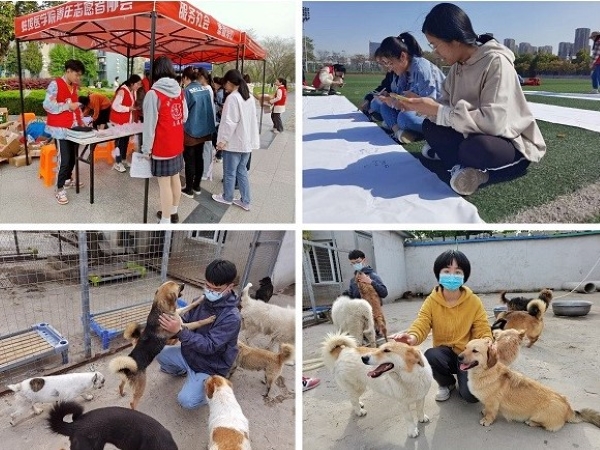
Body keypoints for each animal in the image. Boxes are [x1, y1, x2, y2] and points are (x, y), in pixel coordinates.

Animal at [109, 280, 214, 410]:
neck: (161, 308)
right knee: (133, 403)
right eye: (178, 286)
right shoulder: (182, 327)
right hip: (140, 387)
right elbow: (198, 322)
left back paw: (122, 392)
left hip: (125, 379)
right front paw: (209, 319)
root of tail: (127, 368)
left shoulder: (179, 312)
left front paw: (201, 299)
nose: (183, 283)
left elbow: (189, 306)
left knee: (120, 385)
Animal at [460, 340, 600, 430]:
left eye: (475, 351)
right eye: (465, 348)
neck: (486, 372)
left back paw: (531, 422)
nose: (459, 357)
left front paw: (487, 420)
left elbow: (490, 413)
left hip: (540, 416)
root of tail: (569, 408)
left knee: (545, 426)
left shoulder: (492, 403)